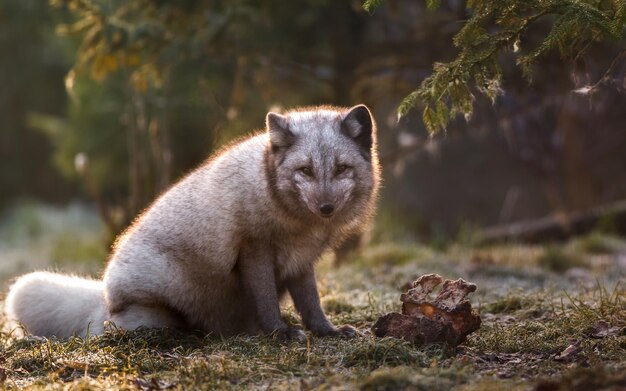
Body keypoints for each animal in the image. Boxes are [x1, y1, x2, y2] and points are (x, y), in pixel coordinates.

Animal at [3, 105, 380, 342]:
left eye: (341, 169)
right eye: (305, 171)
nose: (326, 207)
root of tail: (105, 300)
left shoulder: (301, 262)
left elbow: (311, 303)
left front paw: (327, 332)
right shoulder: (254, 250)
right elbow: (266, 301)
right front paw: (279, 333)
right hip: (160, 306)